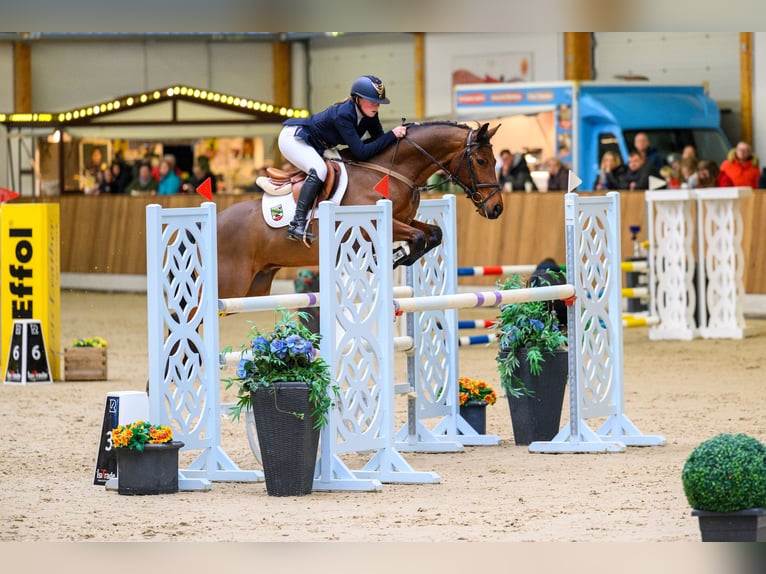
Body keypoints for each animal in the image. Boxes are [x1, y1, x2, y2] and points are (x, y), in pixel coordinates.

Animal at [216, 121, 504, 302]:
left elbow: (433, 233)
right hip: (231, 286)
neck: (391, 170)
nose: (497, 208)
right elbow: (419, 237)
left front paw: (399, 257)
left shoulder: (405, 220)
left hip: (256, 285)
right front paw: (393, 257)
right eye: (481, 161)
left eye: (494, 160)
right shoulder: (372, 226)